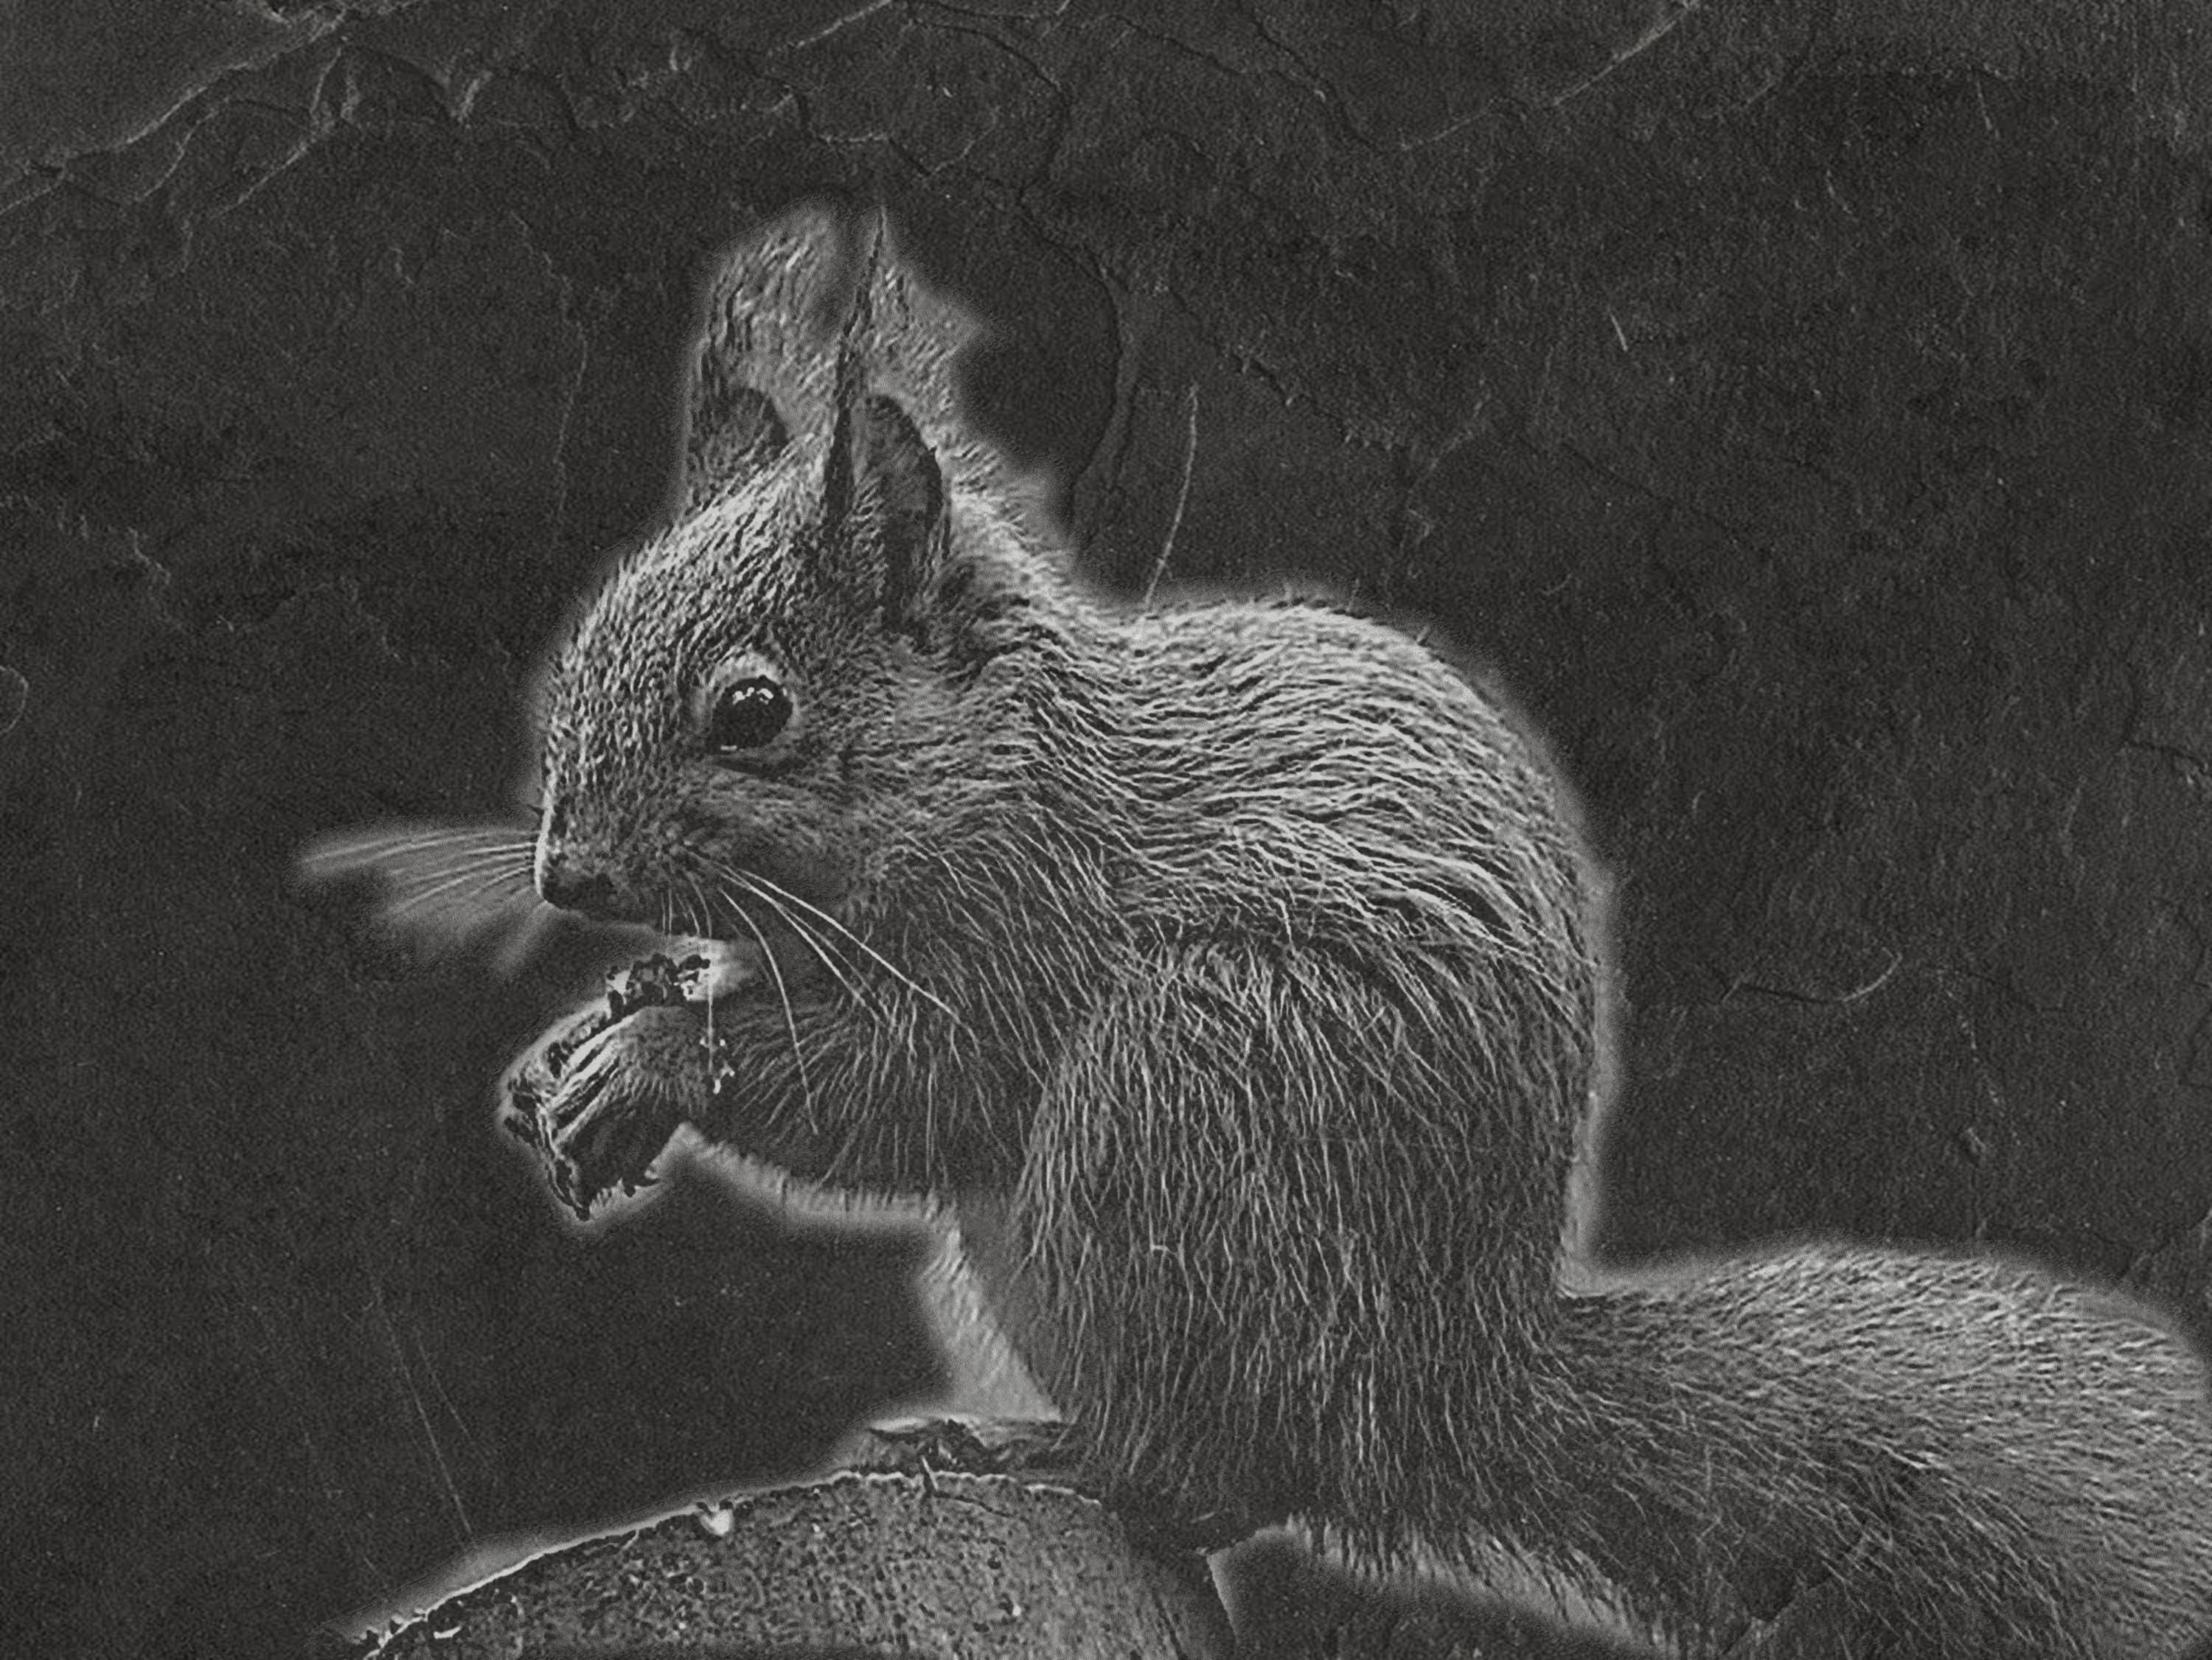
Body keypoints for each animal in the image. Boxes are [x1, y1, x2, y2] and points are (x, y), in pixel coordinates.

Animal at [308, 203, 2212, 1657]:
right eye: (577, 661)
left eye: (754, 710)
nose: (567, 875)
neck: (989, 769)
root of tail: (1445, 1380)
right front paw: (578, 1044)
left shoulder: (1028, 921)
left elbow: (898, 1085)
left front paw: (651, 1056)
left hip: (1186, 1094)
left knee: (1210, 1471)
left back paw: (1036, 1457)